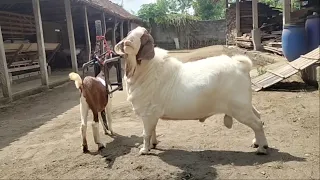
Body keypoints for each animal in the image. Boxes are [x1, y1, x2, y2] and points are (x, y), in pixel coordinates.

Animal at [114, 26, 268, 155]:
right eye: (129, 33)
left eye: (143, 38)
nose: (127, 42)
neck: (146, 70)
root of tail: (241, 65)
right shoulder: (152, 114)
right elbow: (152, 130)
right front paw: (153, 145)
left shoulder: (148, 113)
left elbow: (146, 133)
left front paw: (144, 150)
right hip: (244, 103)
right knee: (258, 116)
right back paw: (256, 142)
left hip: (239, 107)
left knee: (257, 123)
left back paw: (262, 148)